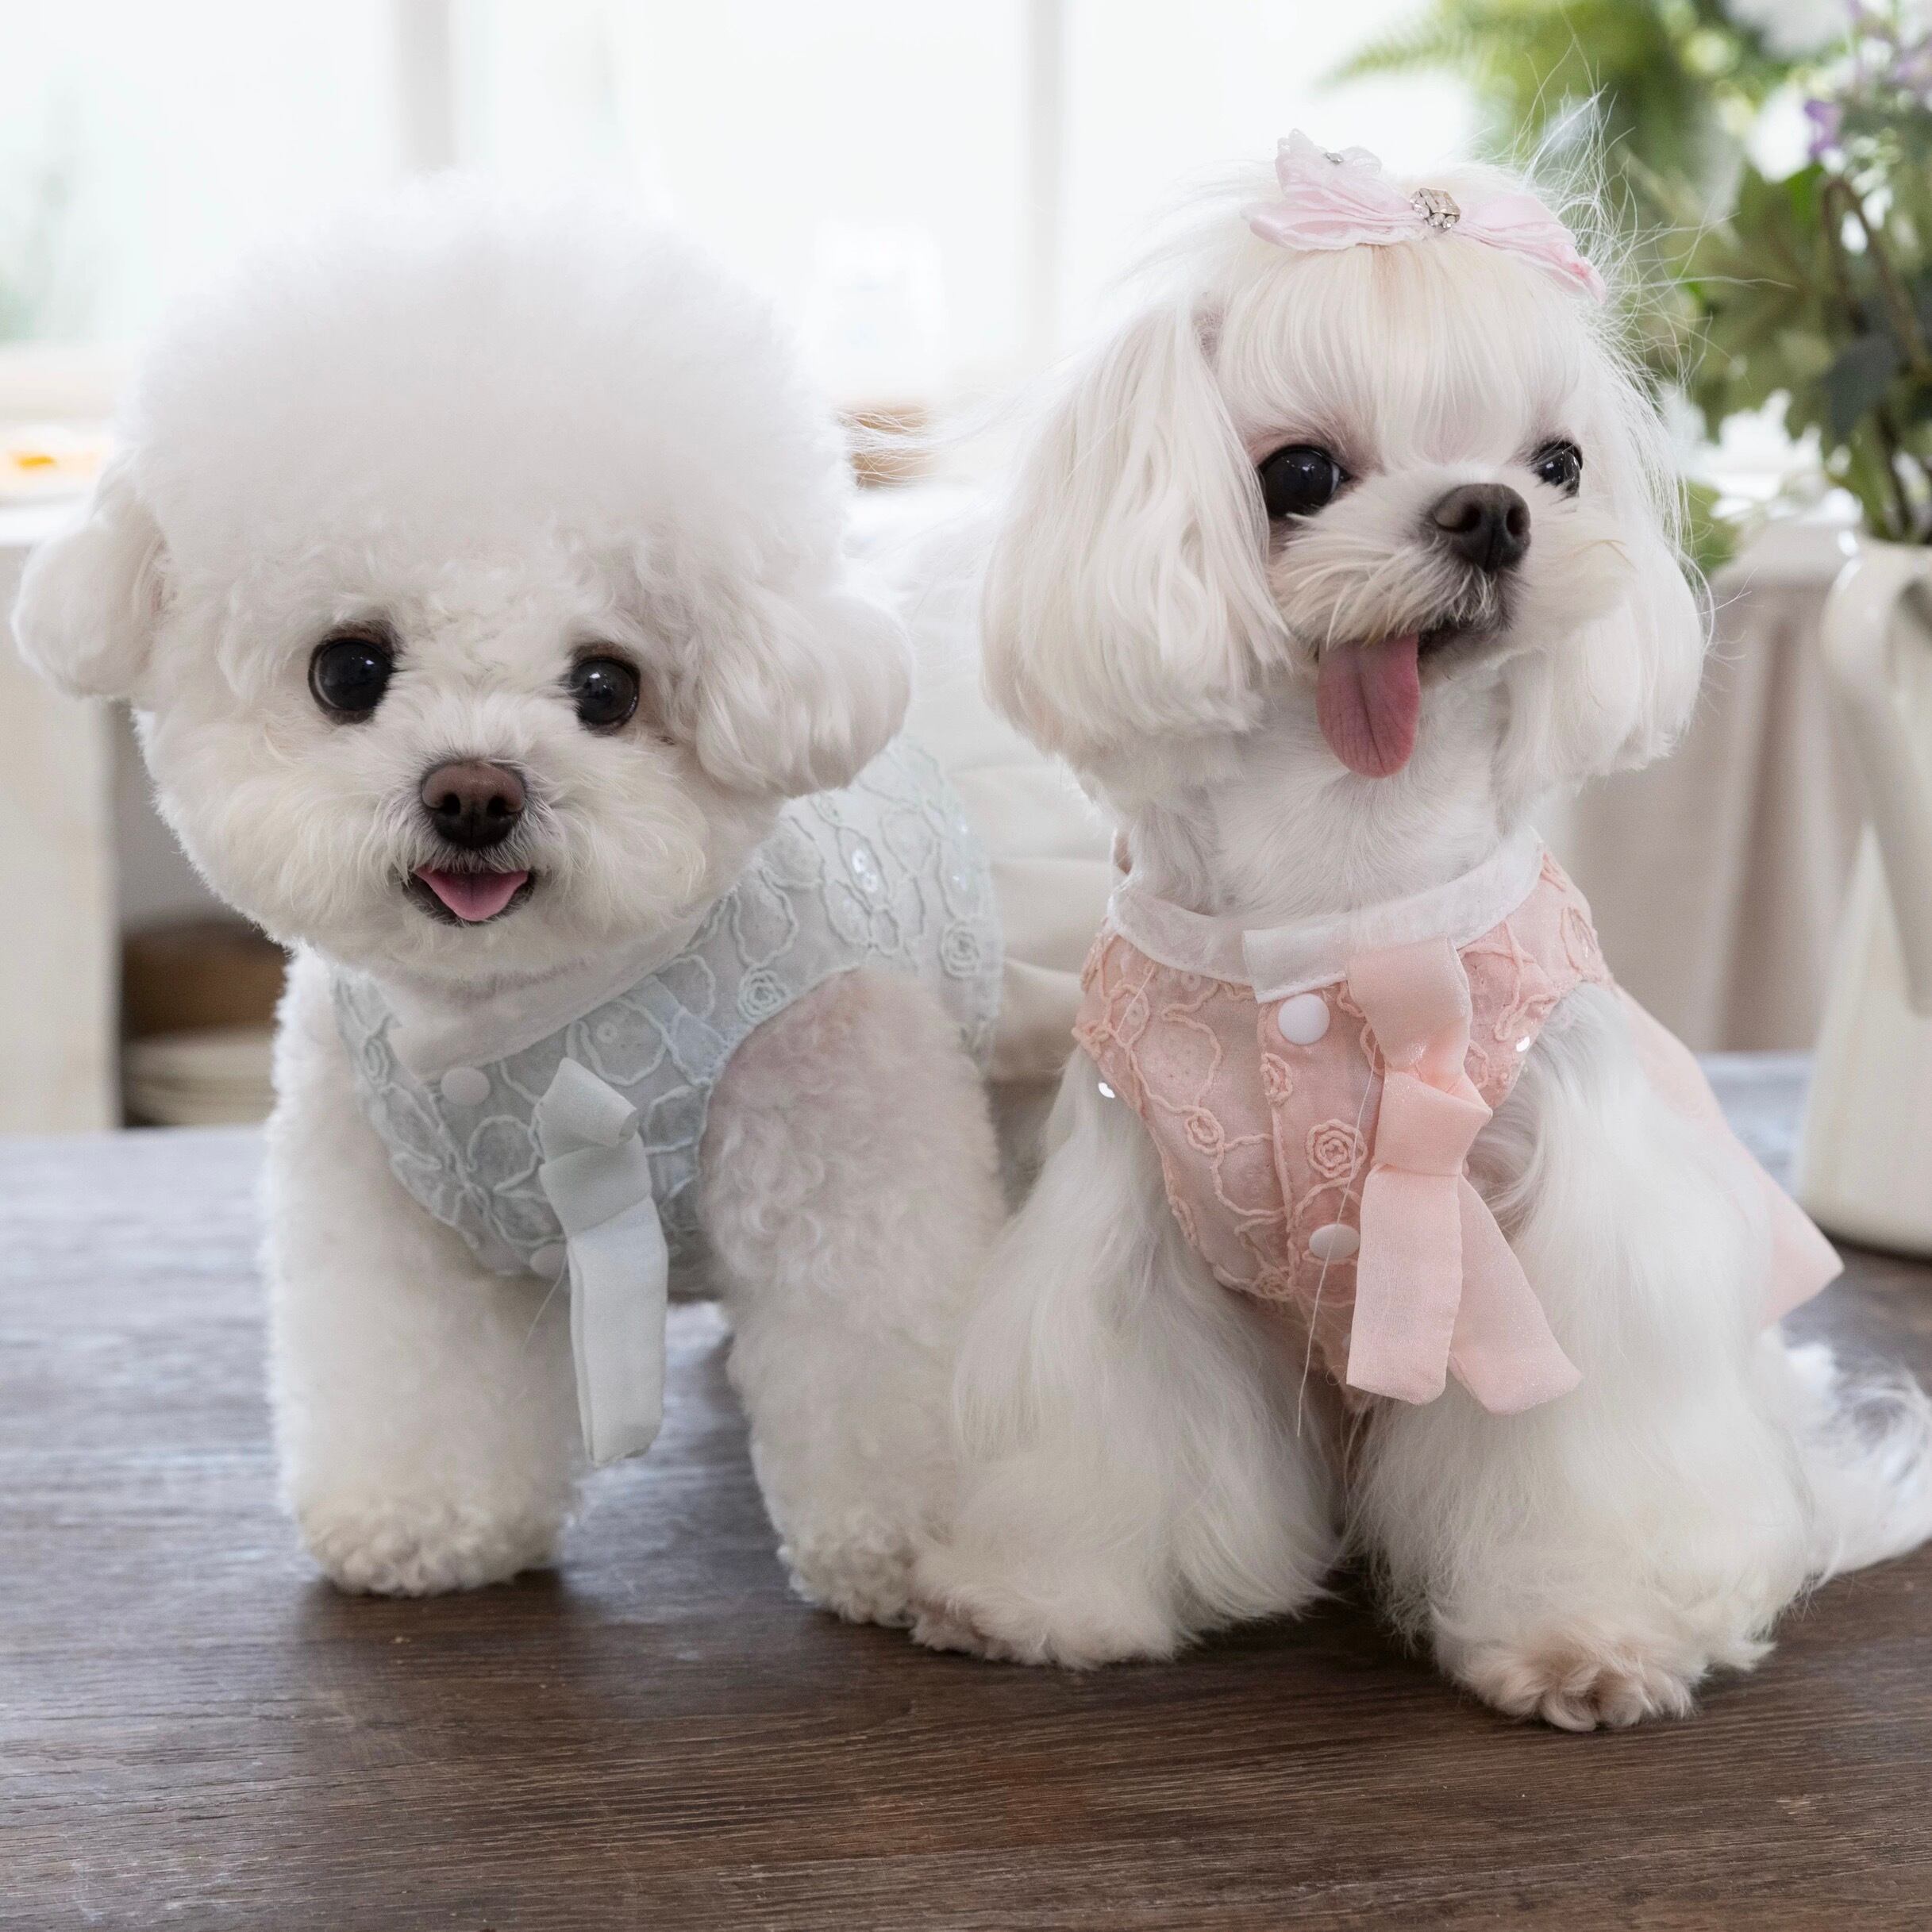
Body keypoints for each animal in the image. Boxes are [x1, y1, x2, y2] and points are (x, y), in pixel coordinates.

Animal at [12, 185, 1006, 1616]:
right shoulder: (391, 1217)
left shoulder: (853, 1166)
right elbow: (420, 1383)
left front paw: (924, 1549)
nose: (473, 791)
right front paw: (423, 1522)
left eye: (606, 685)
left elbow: (884, 1366)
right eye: (349, 669)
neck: (520, 1016)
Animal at [911, 136, 1932, 1727]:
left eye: (1556, 463)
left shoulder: (1565, 1225)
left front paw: (1587, 1636)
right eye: (1299, 472)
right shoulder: (1125, 1214)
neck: (1344, 868)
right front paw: (1043, 1594)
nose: (1488, 510)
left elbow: (1586, 1440)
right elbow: (1100, 1410)